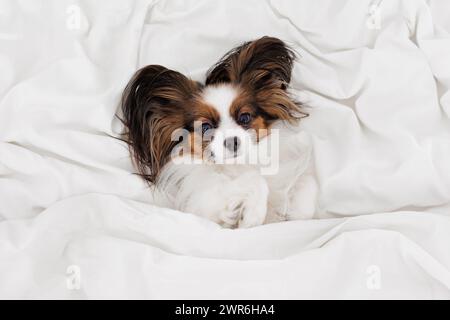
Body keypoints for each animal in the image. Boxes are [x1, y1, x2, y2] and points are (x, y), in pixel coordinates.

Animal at [121, 37, 318, 228]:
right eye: (205, 127)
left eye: (244, 117)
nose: (232, 142)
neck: (239, 165)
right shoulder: (206, 206)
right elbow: (255, 180)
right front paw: (252, 216)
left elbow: (306, 185)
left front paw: (296, 212)